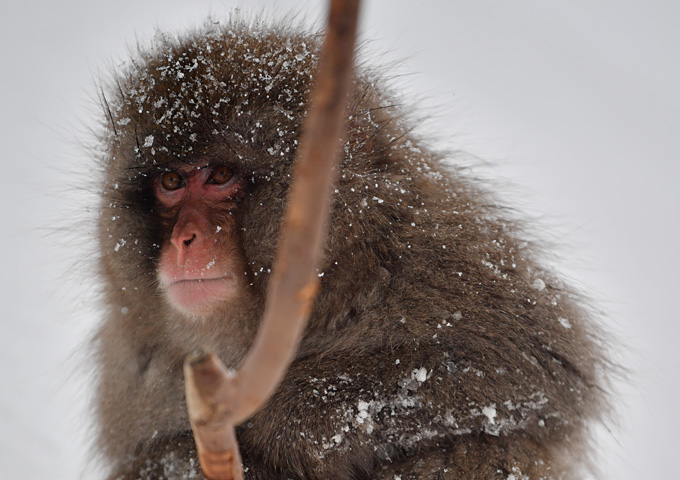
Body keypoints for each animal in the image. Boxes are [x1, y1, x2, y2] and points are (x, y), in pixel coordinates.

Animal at [93, 17, 608, 480]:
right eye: (171, 183)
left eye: (220, 175)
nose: (185, 240)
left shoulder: (432, 251)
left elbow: (532, 368)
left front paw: (281, 419)